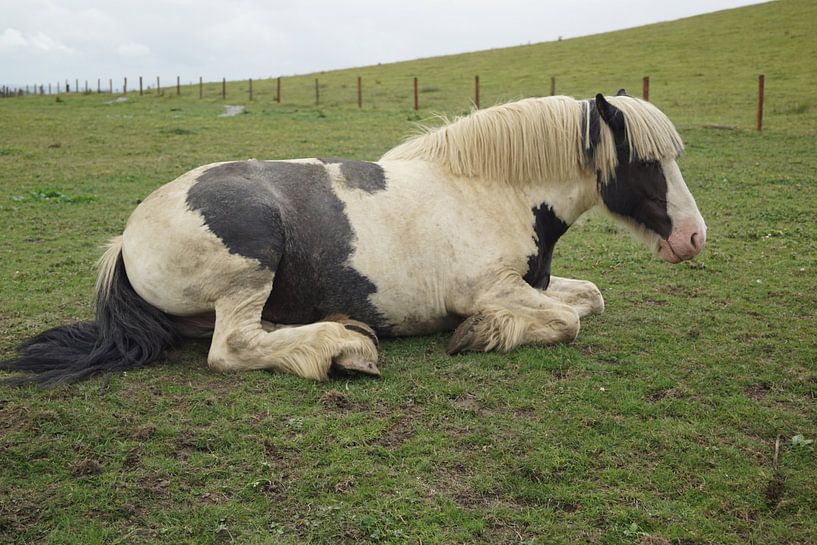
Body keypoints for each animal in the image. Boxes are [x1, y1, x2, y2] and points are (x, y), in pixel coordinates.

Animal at [0, 90, 704, 386]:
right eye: (647, 162)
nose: (694, 237)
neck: (487, 191)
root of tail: (124, 239)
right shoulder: (490, 287)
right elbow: (567, 320)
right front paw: (483, 334)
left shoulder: (535, 281)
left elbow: (589, 298)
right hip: (251, 260)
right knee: (232, 347)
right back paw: (339, 347)